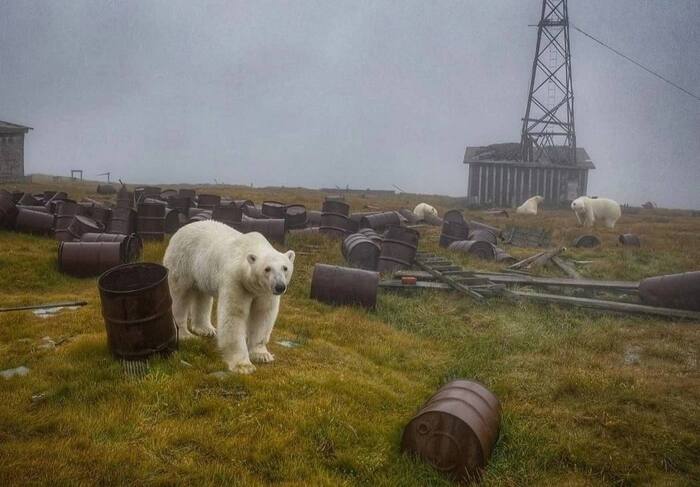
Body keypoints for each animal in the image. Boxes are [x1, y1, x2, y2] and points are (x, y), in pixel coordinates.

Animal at [164, 219, 296, 376]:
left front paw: (262, 355)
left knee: (202, 295)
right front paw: (243, 365)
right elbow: (234, 315)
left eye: (285, 268)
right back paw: (185, 334)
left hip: (202, 271)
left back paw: (206, 329)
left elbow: (263, 314)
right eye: (267, 269)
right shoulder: (236, 281)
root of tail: (181, 229)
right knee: (179, 296)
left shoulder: (264, 292)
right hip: (182, 261)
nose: (280, 286)